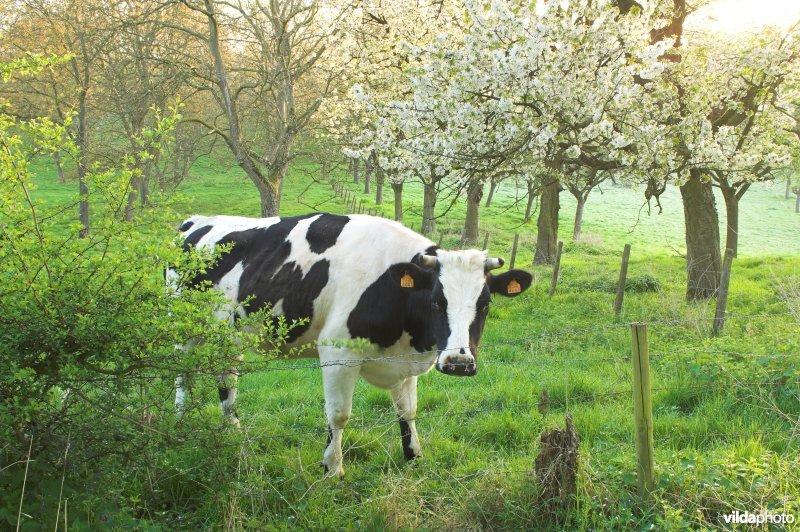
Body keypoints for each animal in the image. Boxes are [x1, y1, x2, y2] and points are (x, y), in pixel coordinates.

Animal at [170, 214, 532, 476]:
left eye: (485, 304)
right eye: (435, 302)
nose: (459, 362)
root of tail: (194, 221)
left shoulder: (403, 362)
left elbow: (408, 411)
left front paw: (414, 455)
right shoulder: (338, 354)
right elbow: (339, 414)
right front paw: (332, 468)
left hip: (227, 333)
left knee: (227, 379)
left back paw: (231, 428)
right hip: (182, 326)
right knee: (183, 374)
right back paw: (181, 421)